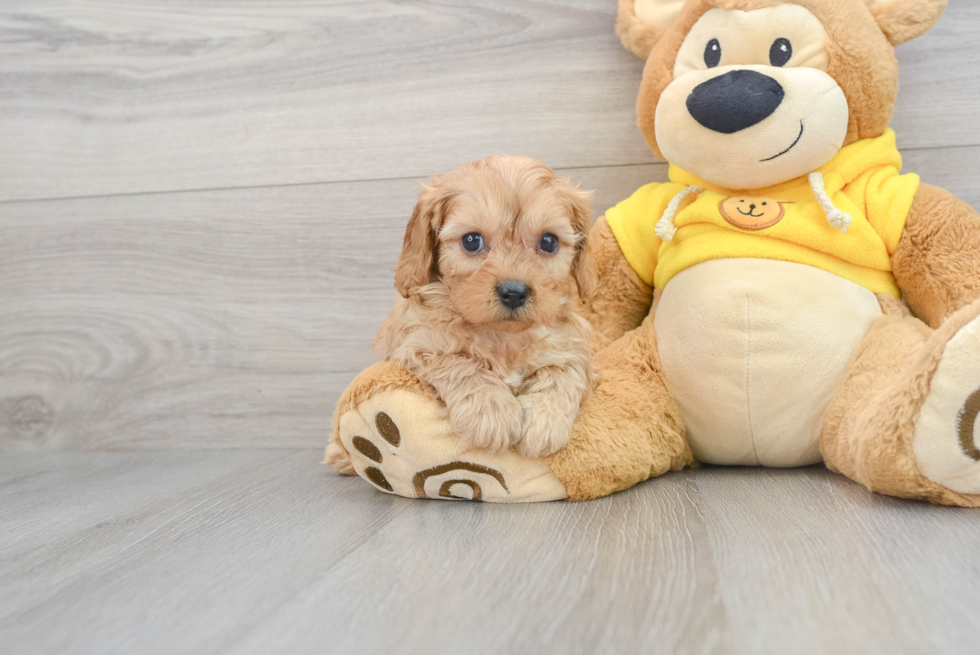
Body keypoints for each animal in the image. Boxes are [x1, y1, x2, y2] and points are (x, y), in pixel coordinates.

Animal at [376, 156, 596, 458]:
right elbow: (460, 362)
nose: (514, 292)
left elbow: (561, 372)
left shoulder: (569, 345)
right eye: (471, 240)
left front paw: (545, 422)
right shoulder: (418, 342)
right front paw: (491, 413)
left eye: (549, 241)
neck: (504, 336)